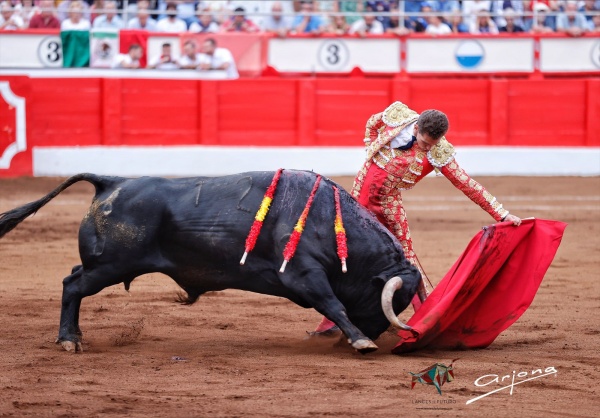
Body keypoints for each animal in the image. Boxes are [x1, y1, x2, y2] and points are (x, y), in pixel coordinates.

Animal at [0, 170, 420, 354]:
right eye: (392, 301)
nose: (380, 334)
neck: (330, 220)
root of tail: (112, 181)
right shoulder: (304, 275)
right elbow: (333, 303)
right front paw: (361, 340)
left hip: (106, 266)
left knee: (73, 278)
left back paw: (75, 335)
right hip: (109, 266)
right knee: (72, 285)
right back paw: (69, 340)